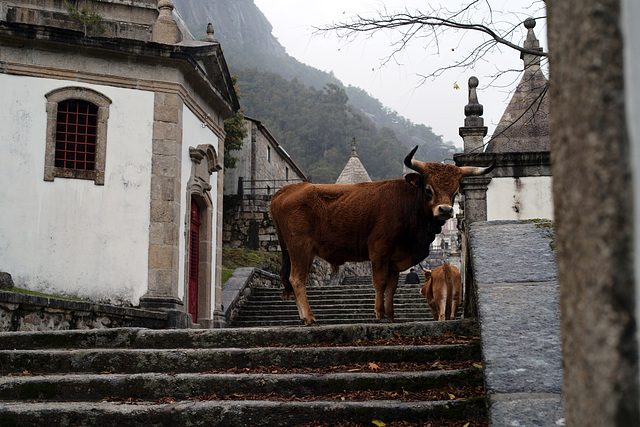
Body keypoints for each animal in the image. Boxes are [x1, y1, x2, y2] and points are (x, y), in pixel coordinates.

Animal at [268, 145, 492, 326]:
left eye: (454, 192)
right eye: (428, 190)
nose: (445, 210)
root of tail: (287, 190)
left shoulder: (394, 259)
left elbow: (391, 287)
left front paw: (391, 316)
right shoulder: (379, 252)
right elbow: (380, 283)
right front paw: (379, 315)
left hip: (301, 251)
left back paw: (302, 317)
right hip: (299, 247)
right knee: (297, 279)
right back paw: (309, 318)